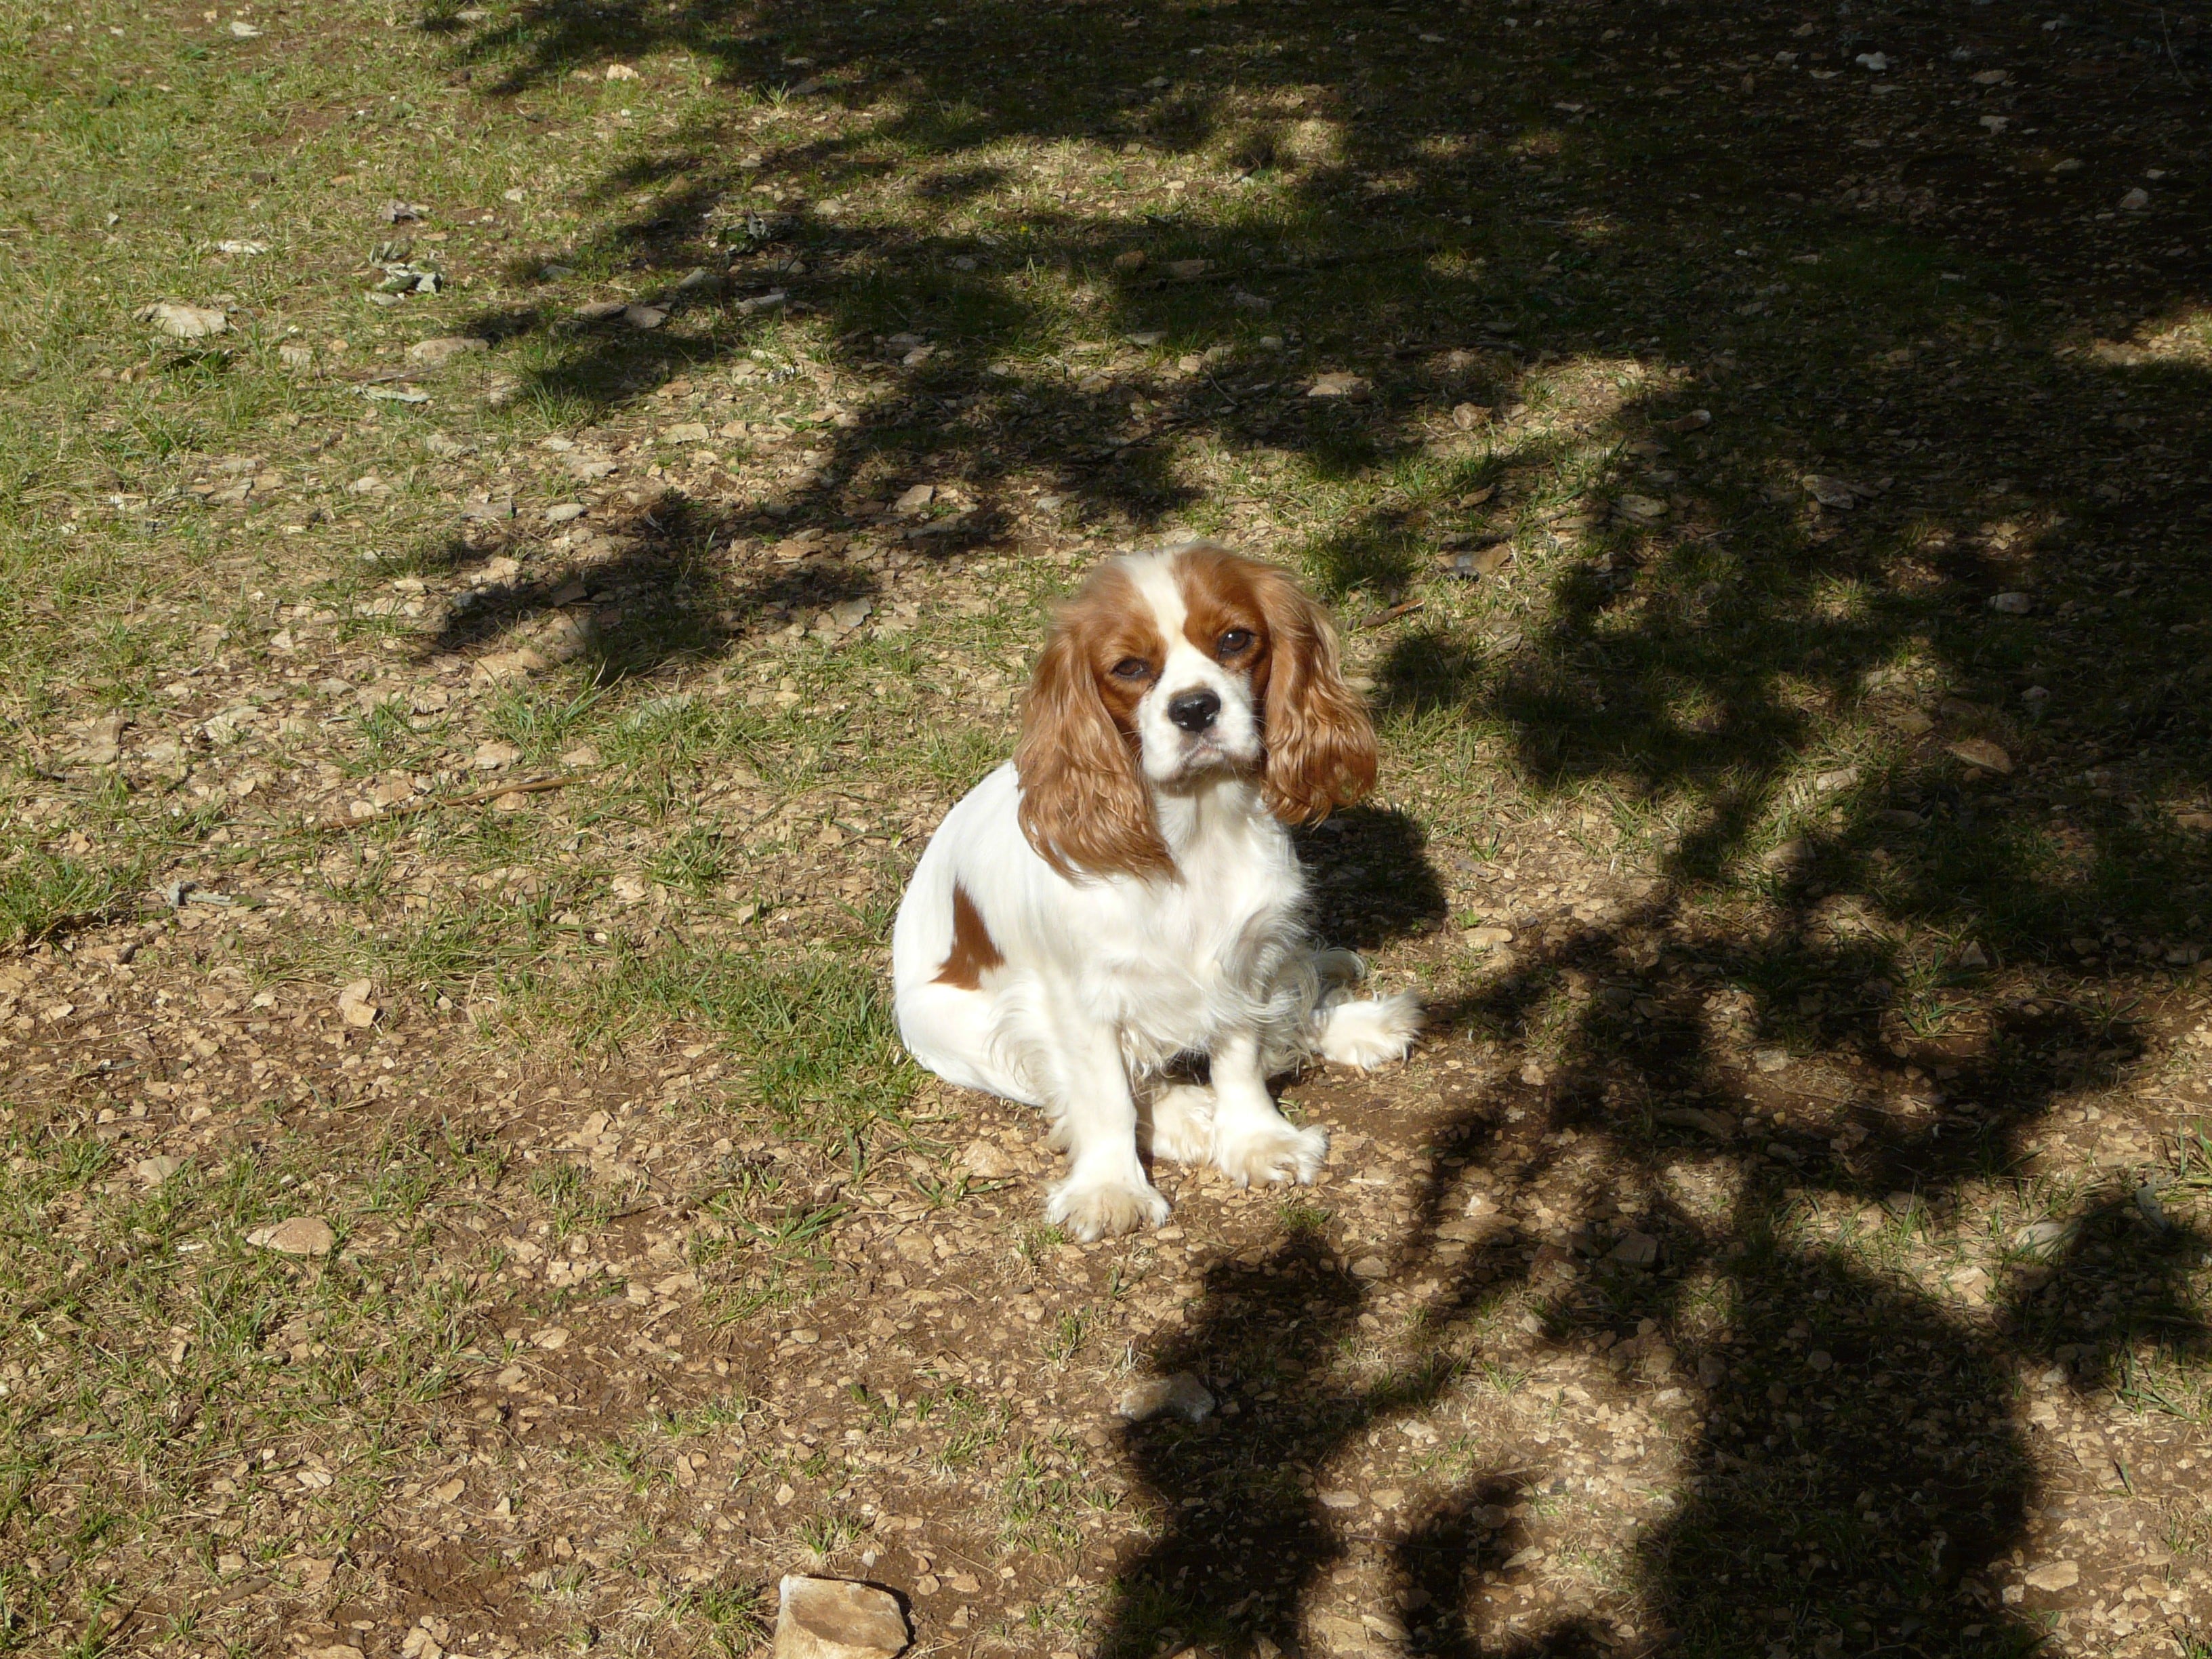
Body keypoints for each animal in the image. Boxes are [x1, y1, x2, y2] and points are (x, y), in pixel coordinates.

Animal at [891, 541, 1421, 1240]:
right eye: (1130, 667)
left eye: (1235, 639)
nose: (1195, 708)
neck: (1195, 831)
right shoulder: (1078, 1001)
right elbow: (1105, 1097)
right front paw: (1111, 1190)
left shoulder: (1245, 964)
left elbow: (1242, 1057)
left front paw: (1258, 1141)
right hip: (960, 1029)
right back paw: (1189, 1115)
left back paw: (1358, 1022)